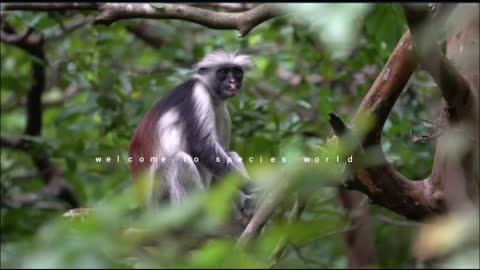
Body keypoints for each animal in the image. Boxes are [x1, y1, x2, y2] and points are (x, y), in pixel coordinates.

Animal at [127, 51, 255, 213]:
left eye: (237, 73)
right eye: (223, 72)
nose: (232, 82)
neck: (212, 95)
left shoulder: (222, 110)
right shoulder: (197, 93)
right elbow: (202, 146)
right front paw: (253, 187)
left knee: (231, 155)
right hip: (160, 194)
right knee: (180, 161)